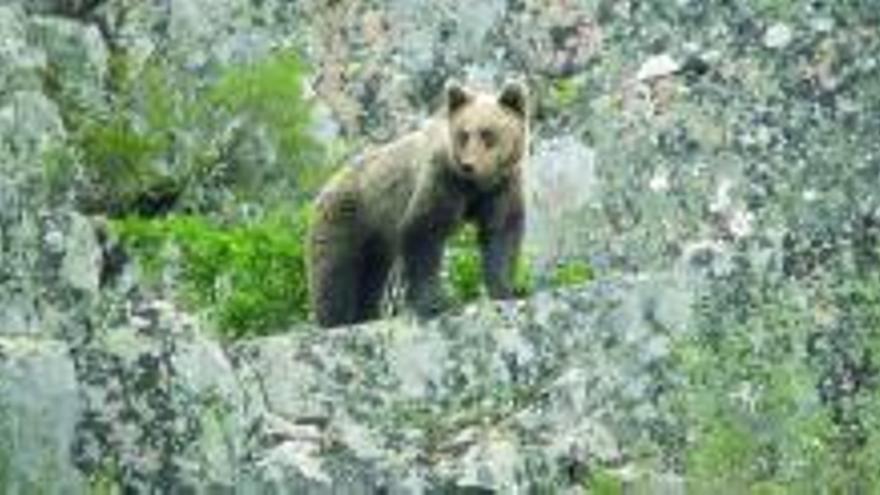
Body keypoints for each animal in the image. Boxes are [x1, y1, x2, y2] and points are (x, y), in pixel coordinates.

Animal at [308, 79, 528, 330]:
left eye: (488, 134)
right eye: (463, 134)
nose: (468, 165)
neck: (474, 186)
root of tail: (327, 184)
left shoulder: (501, 188)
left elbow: (501, 234)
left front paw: (507, 289)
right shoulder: (442, 180)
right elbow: (424, 232)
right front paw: (436, 301)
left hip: (376, 240)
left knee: (370, 278)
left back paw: (366, 314)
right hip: (348, 218)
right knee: (335, 274)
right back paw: (335, 320)